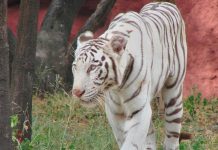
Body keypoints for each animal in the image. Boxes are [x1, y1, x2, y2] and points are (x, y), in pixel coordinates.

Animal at [72, 1, 187, 149]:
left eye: (92, 67)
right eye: (75, 67)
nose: (76, 92)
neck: (117, 88)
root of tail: (164, 2)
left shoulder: (140, 111)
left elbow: (132, 142)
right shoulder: (115, 113)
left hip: (173, 94)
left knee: (172, 133)